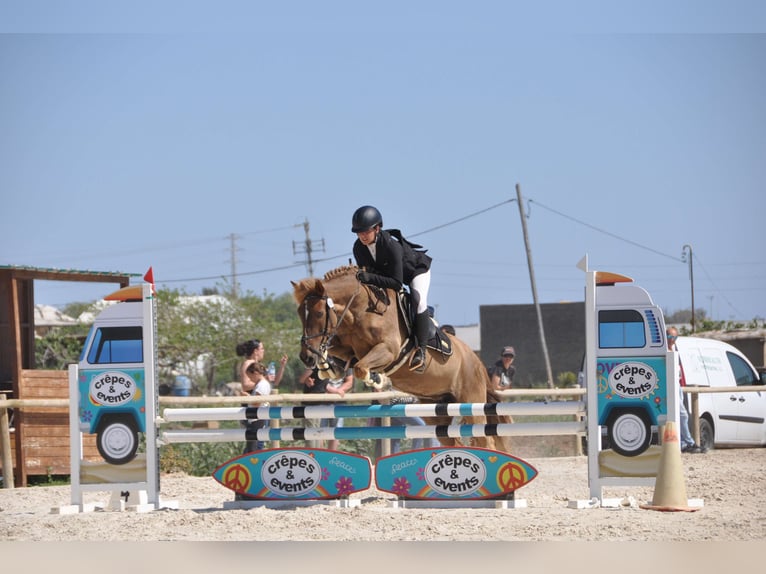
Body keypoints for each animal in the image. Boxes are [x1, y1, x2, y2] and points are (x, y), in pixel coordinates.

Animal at [294, 266, 516, 454]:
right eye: (300, 314)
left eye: (319, 313)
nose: (305, 357)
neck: (361, 311)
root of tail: (477, 362)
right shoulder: (347, 346)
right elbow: (343, 356)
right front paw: (327, 367)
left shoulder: (388, 350)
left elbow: (360, 367)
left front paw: (377, 379)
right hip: (436, 409)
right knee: (453, 440)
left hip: (471, 401)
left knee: (485, 440)